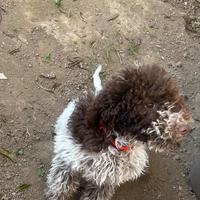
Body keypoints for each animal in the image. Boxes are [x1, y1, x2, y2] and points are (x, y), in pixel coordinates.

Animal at [45, 65, 192, 199]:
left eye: (174, 100)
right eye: (149, 104)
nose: (186, 128)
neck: (115, 142)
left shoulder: (105, 180)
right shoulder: (67, 161)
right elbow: (60, 187)